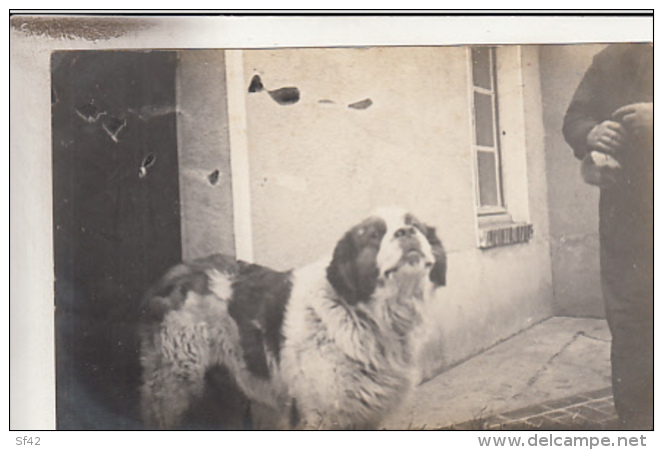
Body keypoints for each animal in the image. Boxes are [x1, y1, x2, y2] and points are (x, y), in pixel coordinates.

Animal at [139, 207, 446, 428]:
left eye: (416, 225)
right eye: (374, 235)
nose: (406, 231)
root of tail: (177, 272)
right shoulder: (320, 415)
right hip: (174, 387)